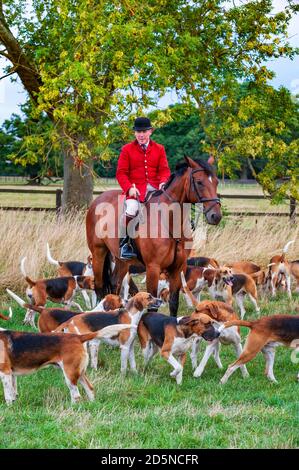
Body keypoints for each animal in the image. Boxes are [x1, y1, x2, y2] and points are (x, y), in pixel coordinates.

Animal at [85, 158, 221, 316]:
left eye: (216, 181)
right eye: (199, 182)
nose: (216, 216)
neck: (170, 222)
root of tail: (98, 199)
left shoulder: (178, 268)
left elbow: (174, 302)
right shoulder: (153, 268)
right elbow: (152, 305)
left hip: (122, 260)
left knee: (115, 283)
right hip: (98, 253)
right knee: (99, 286)